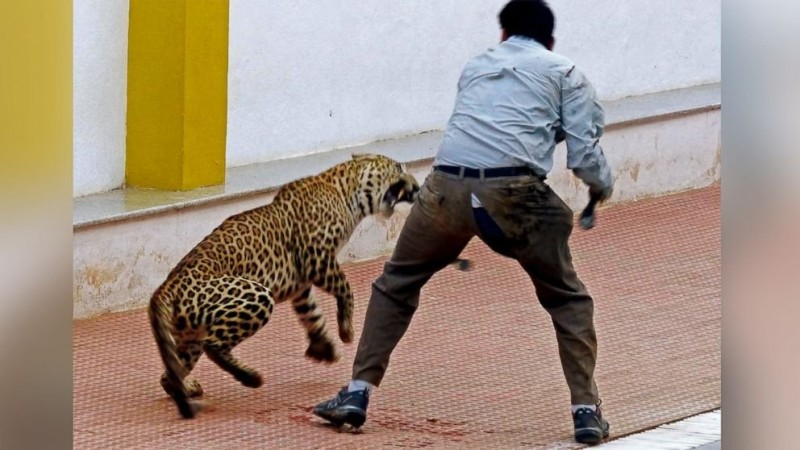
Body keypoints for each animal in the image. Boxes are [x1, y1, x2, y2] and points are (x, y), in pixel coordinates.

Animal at [148, 154, 422, 418]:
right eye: (399, 167)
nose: (418, 187)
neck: (346, 192)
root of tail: (164, 289)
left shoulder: (301, 283)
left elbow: (312, 313)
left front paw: (324, 347)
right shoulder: (317, 259)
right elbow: (345, 288)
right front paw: (346, 331)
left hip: (190, 335)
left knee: (170, 372)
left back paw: (187, 387)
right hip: (256, 295)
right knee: (213, 346)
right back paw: (251, 377)